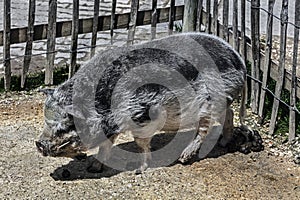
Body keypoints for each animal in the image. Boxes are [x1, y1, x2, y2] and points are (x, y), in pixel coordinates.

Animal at [35, 32, 262, 173]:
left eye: (66, 125)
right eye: (46, 121)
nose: (38, 143)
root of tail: (240, 60)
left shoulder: (144, 115)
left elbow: (141, 143)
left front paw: (138, 170)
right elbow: (106, 145)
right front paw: (93, 168)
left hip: (209, 101)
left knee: (204, 128)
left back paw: (184, 157)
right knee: (228, 114)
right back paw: (223, 142)